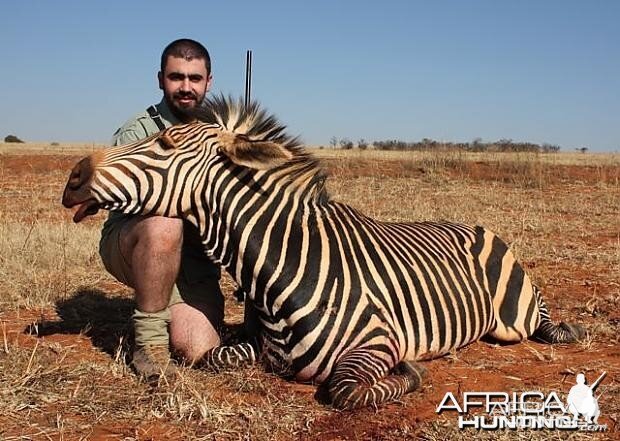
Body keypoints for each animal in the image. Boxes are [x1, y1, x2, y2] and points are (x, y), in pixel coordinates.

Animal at [64, 94, 588, 408]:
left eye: (166, 143)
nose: (73, 178)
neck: (282, 274)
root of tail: (471, 224)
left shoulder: (378, 341)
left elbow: (345, 392)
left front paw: (411, 372)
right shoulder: (257, 347)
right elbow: (209, 357)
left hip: (512, 322)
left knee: (543, 324)